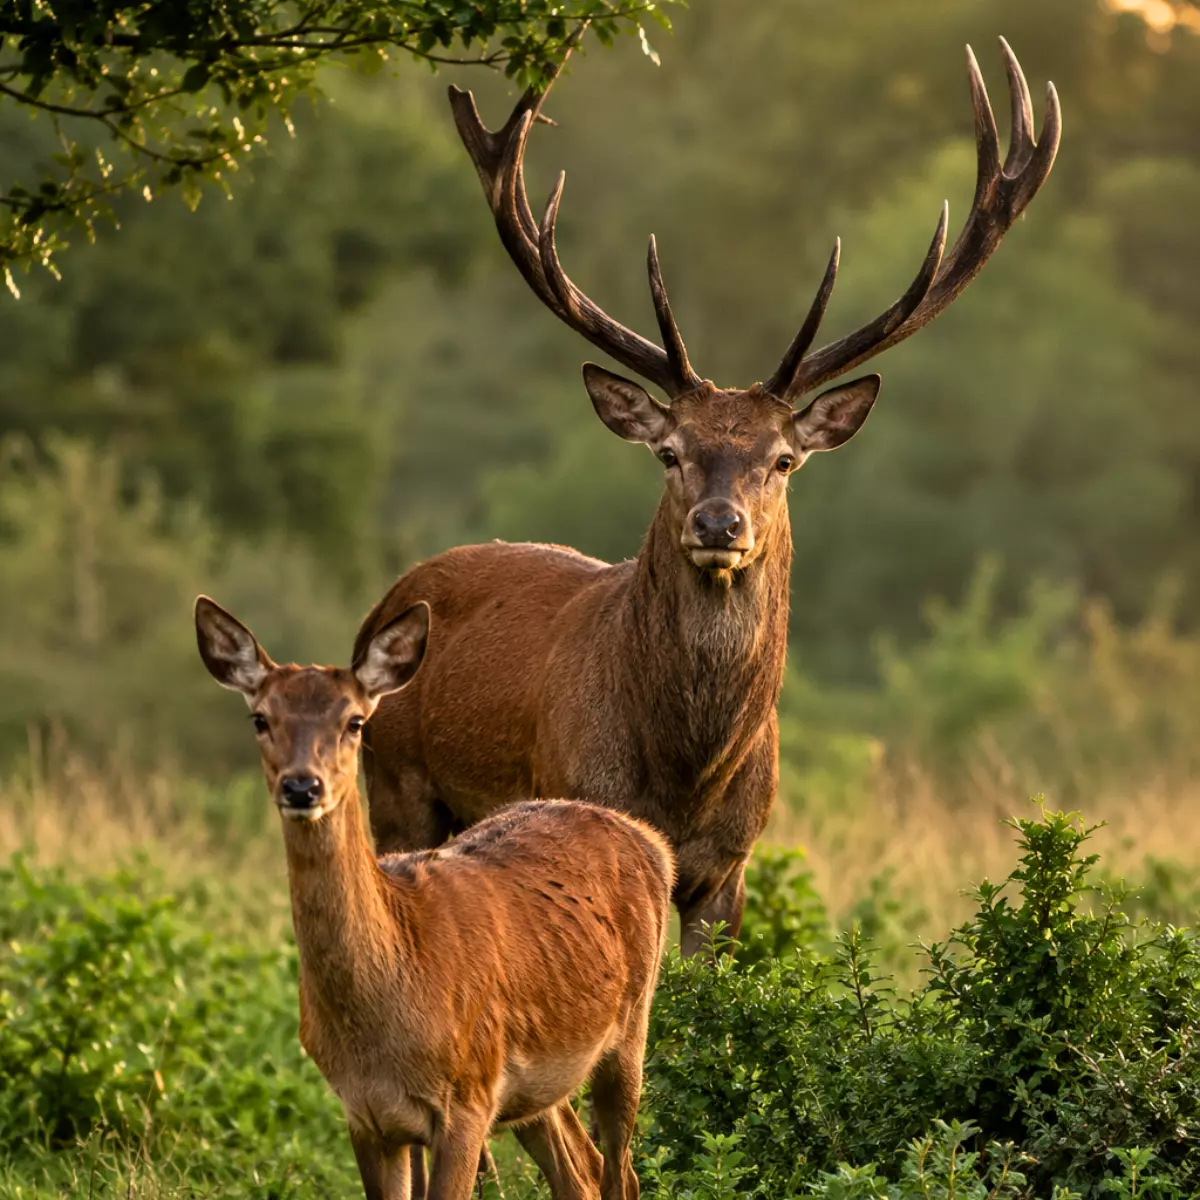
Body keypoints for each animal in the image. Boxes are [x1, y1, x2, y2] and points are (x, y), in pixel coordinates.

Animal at [195, 595, 673, 1200]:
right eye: (260, 718)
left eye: (355, 721)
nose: (302, 787)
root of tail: (650, 842)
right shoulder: (366, 1117)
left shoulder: (468, 1097)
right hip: (537, 1089)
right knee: (579, 1172)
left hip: (629, 1029)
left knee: (621, 1172)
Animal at [356, 39, 1060, 956]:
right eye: (670, 452)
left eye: (784, 459)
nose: (719, 523)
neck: (684, 780)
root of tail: (387, 602)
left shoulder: (731, 868)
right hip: (395, 786)